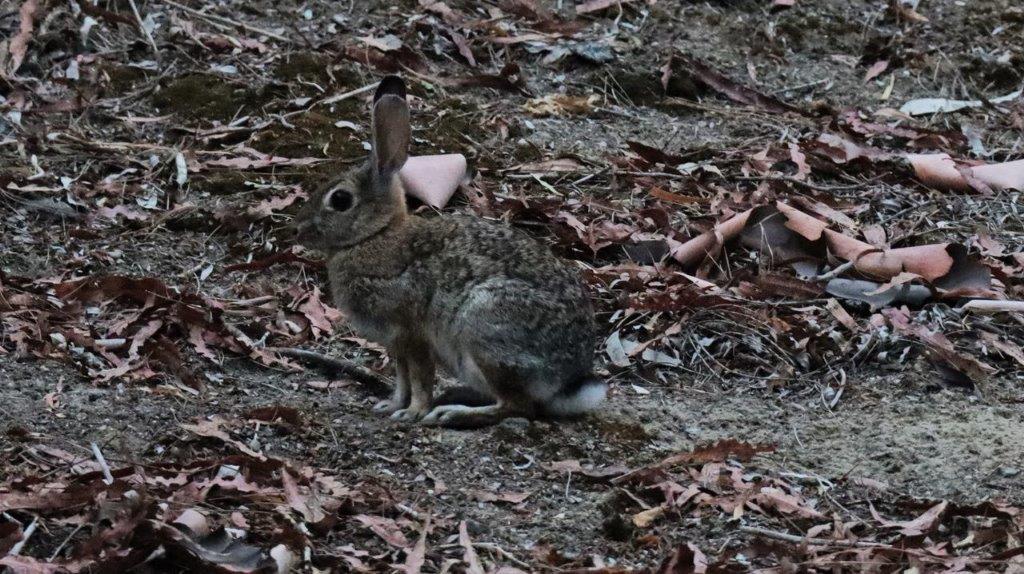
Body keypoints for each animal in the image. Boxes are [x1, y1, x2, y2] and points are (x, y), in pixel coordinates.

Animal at [292, 75, 602, 425]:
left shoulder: (412, 335)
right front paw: (390, 406)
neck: (375, 235)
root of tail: (566, 382)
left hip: (484, 329)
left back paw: (452, 414)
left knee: (517, 406)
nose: (297, 229)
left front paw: (412, 412)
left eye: (341, 200)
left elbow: (419, 378)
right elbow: (402, 378)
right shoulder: (396, 343)